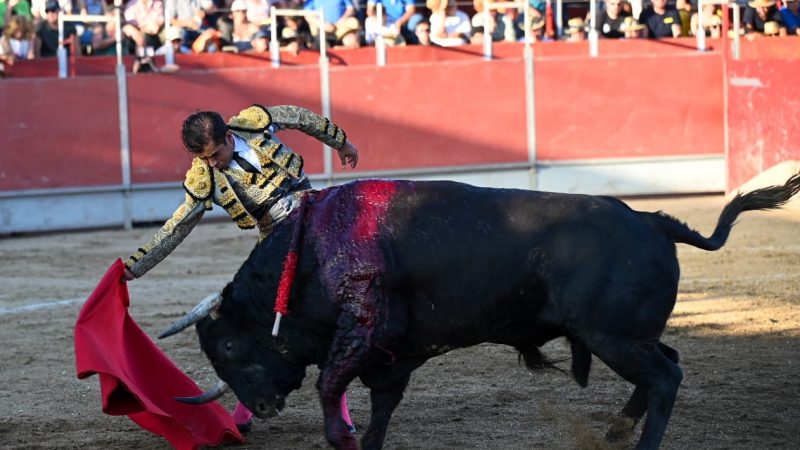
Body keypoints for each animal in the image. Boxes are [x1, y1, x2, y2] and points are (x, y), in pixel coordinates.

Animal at [164, 174, 800, 448]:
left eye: (227, 346)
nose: (260, 408)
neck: (312, 252)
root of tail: (653, 220)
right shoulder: (392, 354)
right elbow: (380, 409)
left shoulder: (362, 332)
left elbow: (330, 390)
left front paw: (340, 438)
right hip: (622, 335)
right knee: (668, 361)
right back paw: (619, 427)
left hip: (612, 336)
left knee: (667, 376)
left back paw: (640, 443)